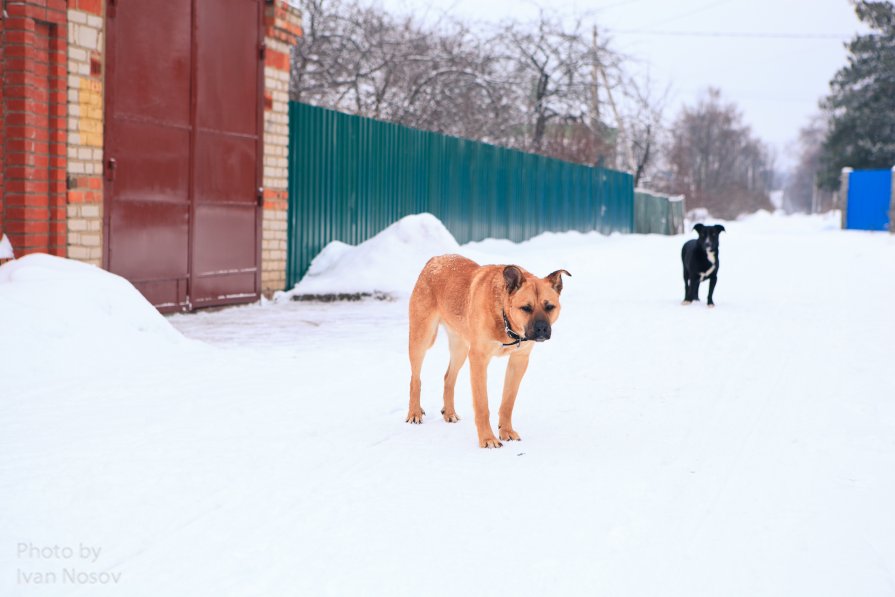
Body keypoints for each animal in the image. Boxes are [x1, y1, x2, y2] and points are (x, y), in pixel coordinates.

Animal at [408, 255, 576, 448]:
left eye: (549, 307)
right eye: (526, 308)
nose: (542, 329)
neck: (505, 319)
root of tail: (435, 259)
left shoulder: (519, 361)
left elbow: (508, 403)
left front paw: (506, 431)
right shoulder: (478, 360)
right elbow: (482, 406)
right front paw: (487, 439)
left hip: (460, 348)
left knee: (449, 377)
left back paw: (449, 412)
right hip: (422, 338)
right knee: (415, 379)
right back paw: (414, 412)